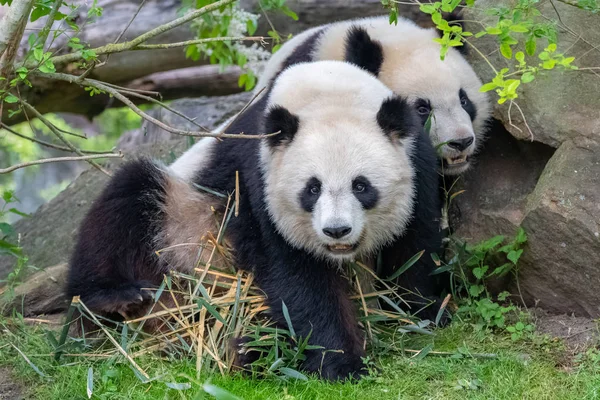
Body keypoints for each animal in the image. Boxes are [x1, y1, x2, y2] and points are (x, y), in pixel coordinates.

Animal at [68, 61, 438, 380]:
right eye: (312, 188)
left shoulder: (416, 159)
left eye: (361, 186)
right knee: (126, 203)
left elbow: (415, 246)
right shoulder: (259, 175)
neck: (327, 91)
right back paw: (115, 298)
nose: (336, 231)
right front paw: (342, 364)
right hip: (180, 221)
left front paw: (423, 311)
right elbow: (295, 274)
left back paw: (254, 347)